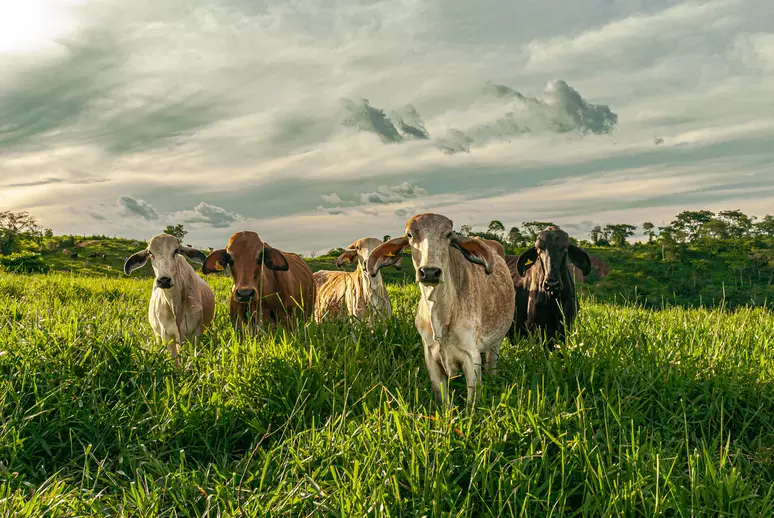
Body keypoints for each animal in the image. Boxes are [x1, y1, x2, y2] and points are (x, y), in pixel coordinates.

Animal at [124, 234, 215, 368]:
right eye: (150, 253)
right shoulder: (167, 336)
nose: (164, 280)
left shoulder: (194, 335)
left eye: (176, 250)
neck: (176, 307)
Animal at [368, 213, 516, 408]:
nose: (430, 272)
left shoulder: (471, 356)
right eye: (409, 235)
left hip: (496, 342)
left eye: (448, 234)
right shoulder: (431, 357)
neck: (440, 316)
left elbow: (472, 404)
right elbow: (442, 401)